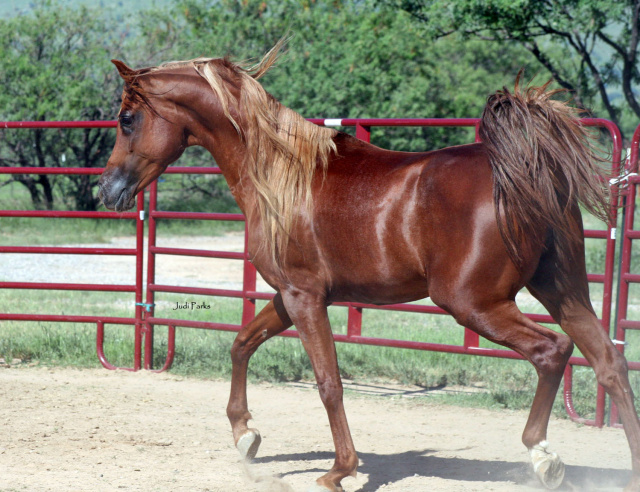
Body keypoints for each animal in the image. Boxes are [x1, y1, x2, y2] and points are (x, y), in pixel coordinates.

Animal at [99, 43, 640, 492]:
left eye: (127, 118)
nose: (107, 190)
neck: (281, 175)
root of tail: (526, 171)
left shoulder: (304, 298)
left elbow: (328, 382)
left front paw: (339, 470)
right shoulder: (288, 296)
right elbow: (242, 344)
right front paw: (245, 435)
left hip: (475, 304)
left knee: (552, 351)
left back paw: (542, 456)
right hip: (563, 291)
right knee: (609, 363)